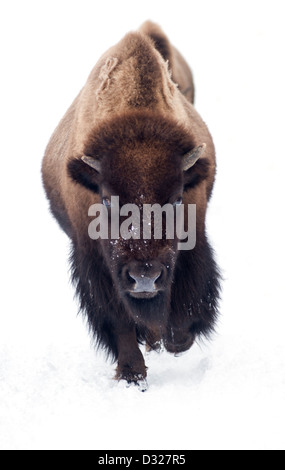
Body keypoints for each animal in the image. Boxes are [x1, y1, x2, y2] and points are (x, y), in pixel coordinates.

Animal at [41, 21, 220, 390]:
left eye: (177, 198)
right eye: (106, 199)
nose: (145, 277)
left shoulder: (193, 240)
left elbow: (185, 299)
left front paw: (176, 341)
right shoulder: (95, 260)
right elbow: (118, 317)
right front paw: (131, 375)